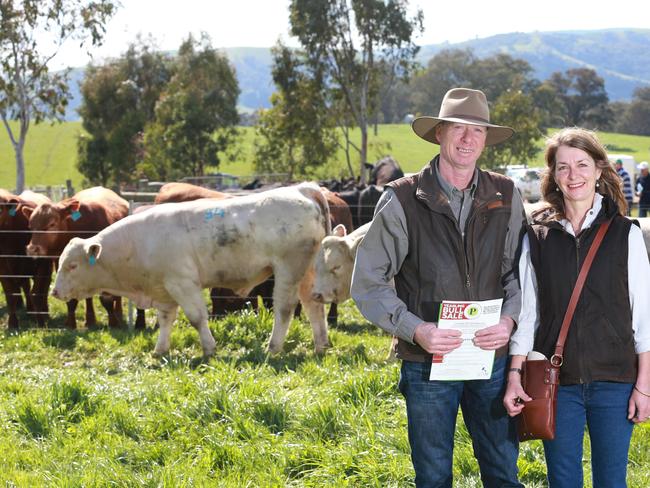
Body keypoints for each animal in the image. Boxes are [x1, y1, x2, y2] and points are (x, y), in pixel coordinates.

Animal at [0, 190, 52, 328]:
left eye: (0, 209)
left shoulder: (41, 267)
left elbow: (37, 293)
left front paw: (41, 322)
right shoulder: (3, 270)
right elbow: (11, 295)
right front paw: (12, 323)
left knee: (43, 289)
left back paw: (43, 313)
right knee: (26, 287)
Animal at [22, 187, 128, 328]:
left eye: (52, 224)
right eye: (31, 226)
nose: (32, 249)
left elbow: (108, 298)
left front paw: (114, 323)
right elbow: (71, 299)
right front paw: (71, 324)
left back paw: (118, 314)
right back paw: (90, 320)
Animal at [53, 183, 332, 354]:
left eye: (72, 265)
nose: (54, 292)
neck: (139, 240)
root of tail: (303, 188)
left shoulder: (183, 283)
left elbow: (197, 318)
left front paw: (209, 348)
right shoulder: (164, 289)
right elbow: (166, 320)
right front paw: (160, 350)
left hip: (288, 269)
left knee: (285, 308)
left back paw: (273, 347)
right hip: (309, 271)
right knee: (313, 306)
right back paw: (321, 345)